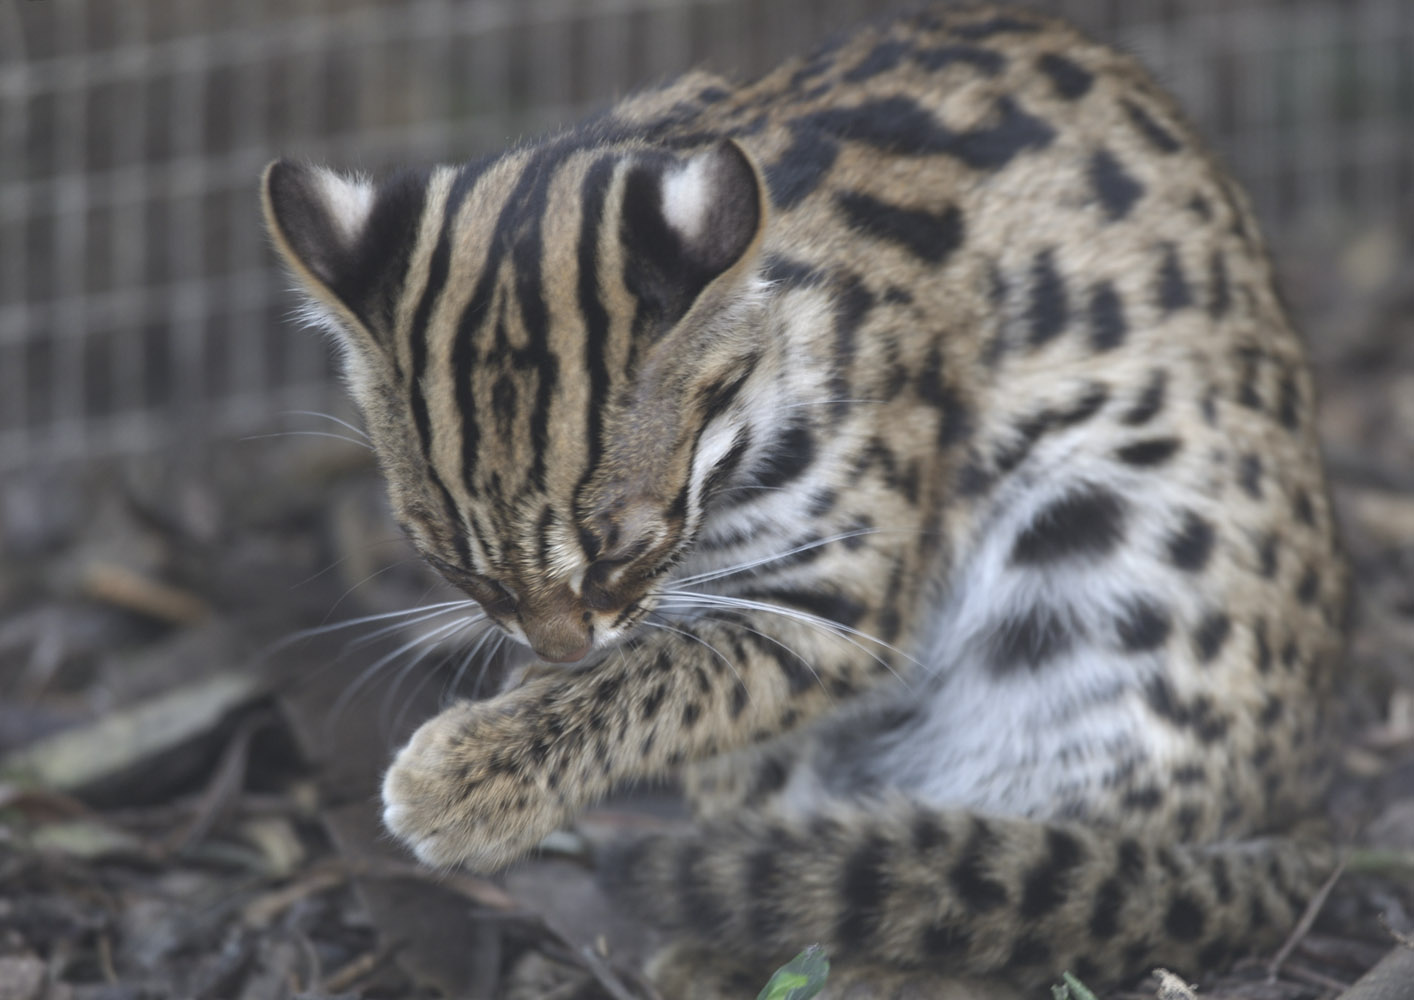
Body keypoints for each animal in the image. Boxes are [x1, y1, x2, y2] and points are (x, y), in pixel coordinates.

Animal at [260, 4, 1347, 995]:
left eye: (622, 545)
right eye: (453, 565)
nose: (554, 650)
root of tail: (1300, 801)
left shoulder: (840, 595)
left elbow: (664, 673)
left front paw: (469, 777)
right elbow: (715, 722)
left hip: (1122, 576)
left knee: (1048, 878)